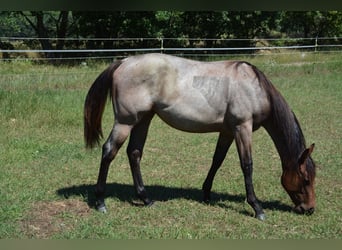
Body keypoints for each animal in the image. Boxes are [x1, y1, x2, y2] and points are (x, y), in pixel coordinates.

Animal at [83, 52, 316, 221]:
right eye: (305, 179)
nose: (309, 209)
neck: (254, 87)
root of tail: (123, 62)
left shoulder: (227, 131)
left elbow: (217, 160)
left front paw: (206, 193)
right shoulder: (242, 128)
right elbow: (247, 165)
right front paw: (257, 207)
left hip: (143, 119)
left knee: (134, 153)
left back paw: (146, 198)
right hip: (125, 122)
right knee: (109, 151)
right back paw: (101, 202)